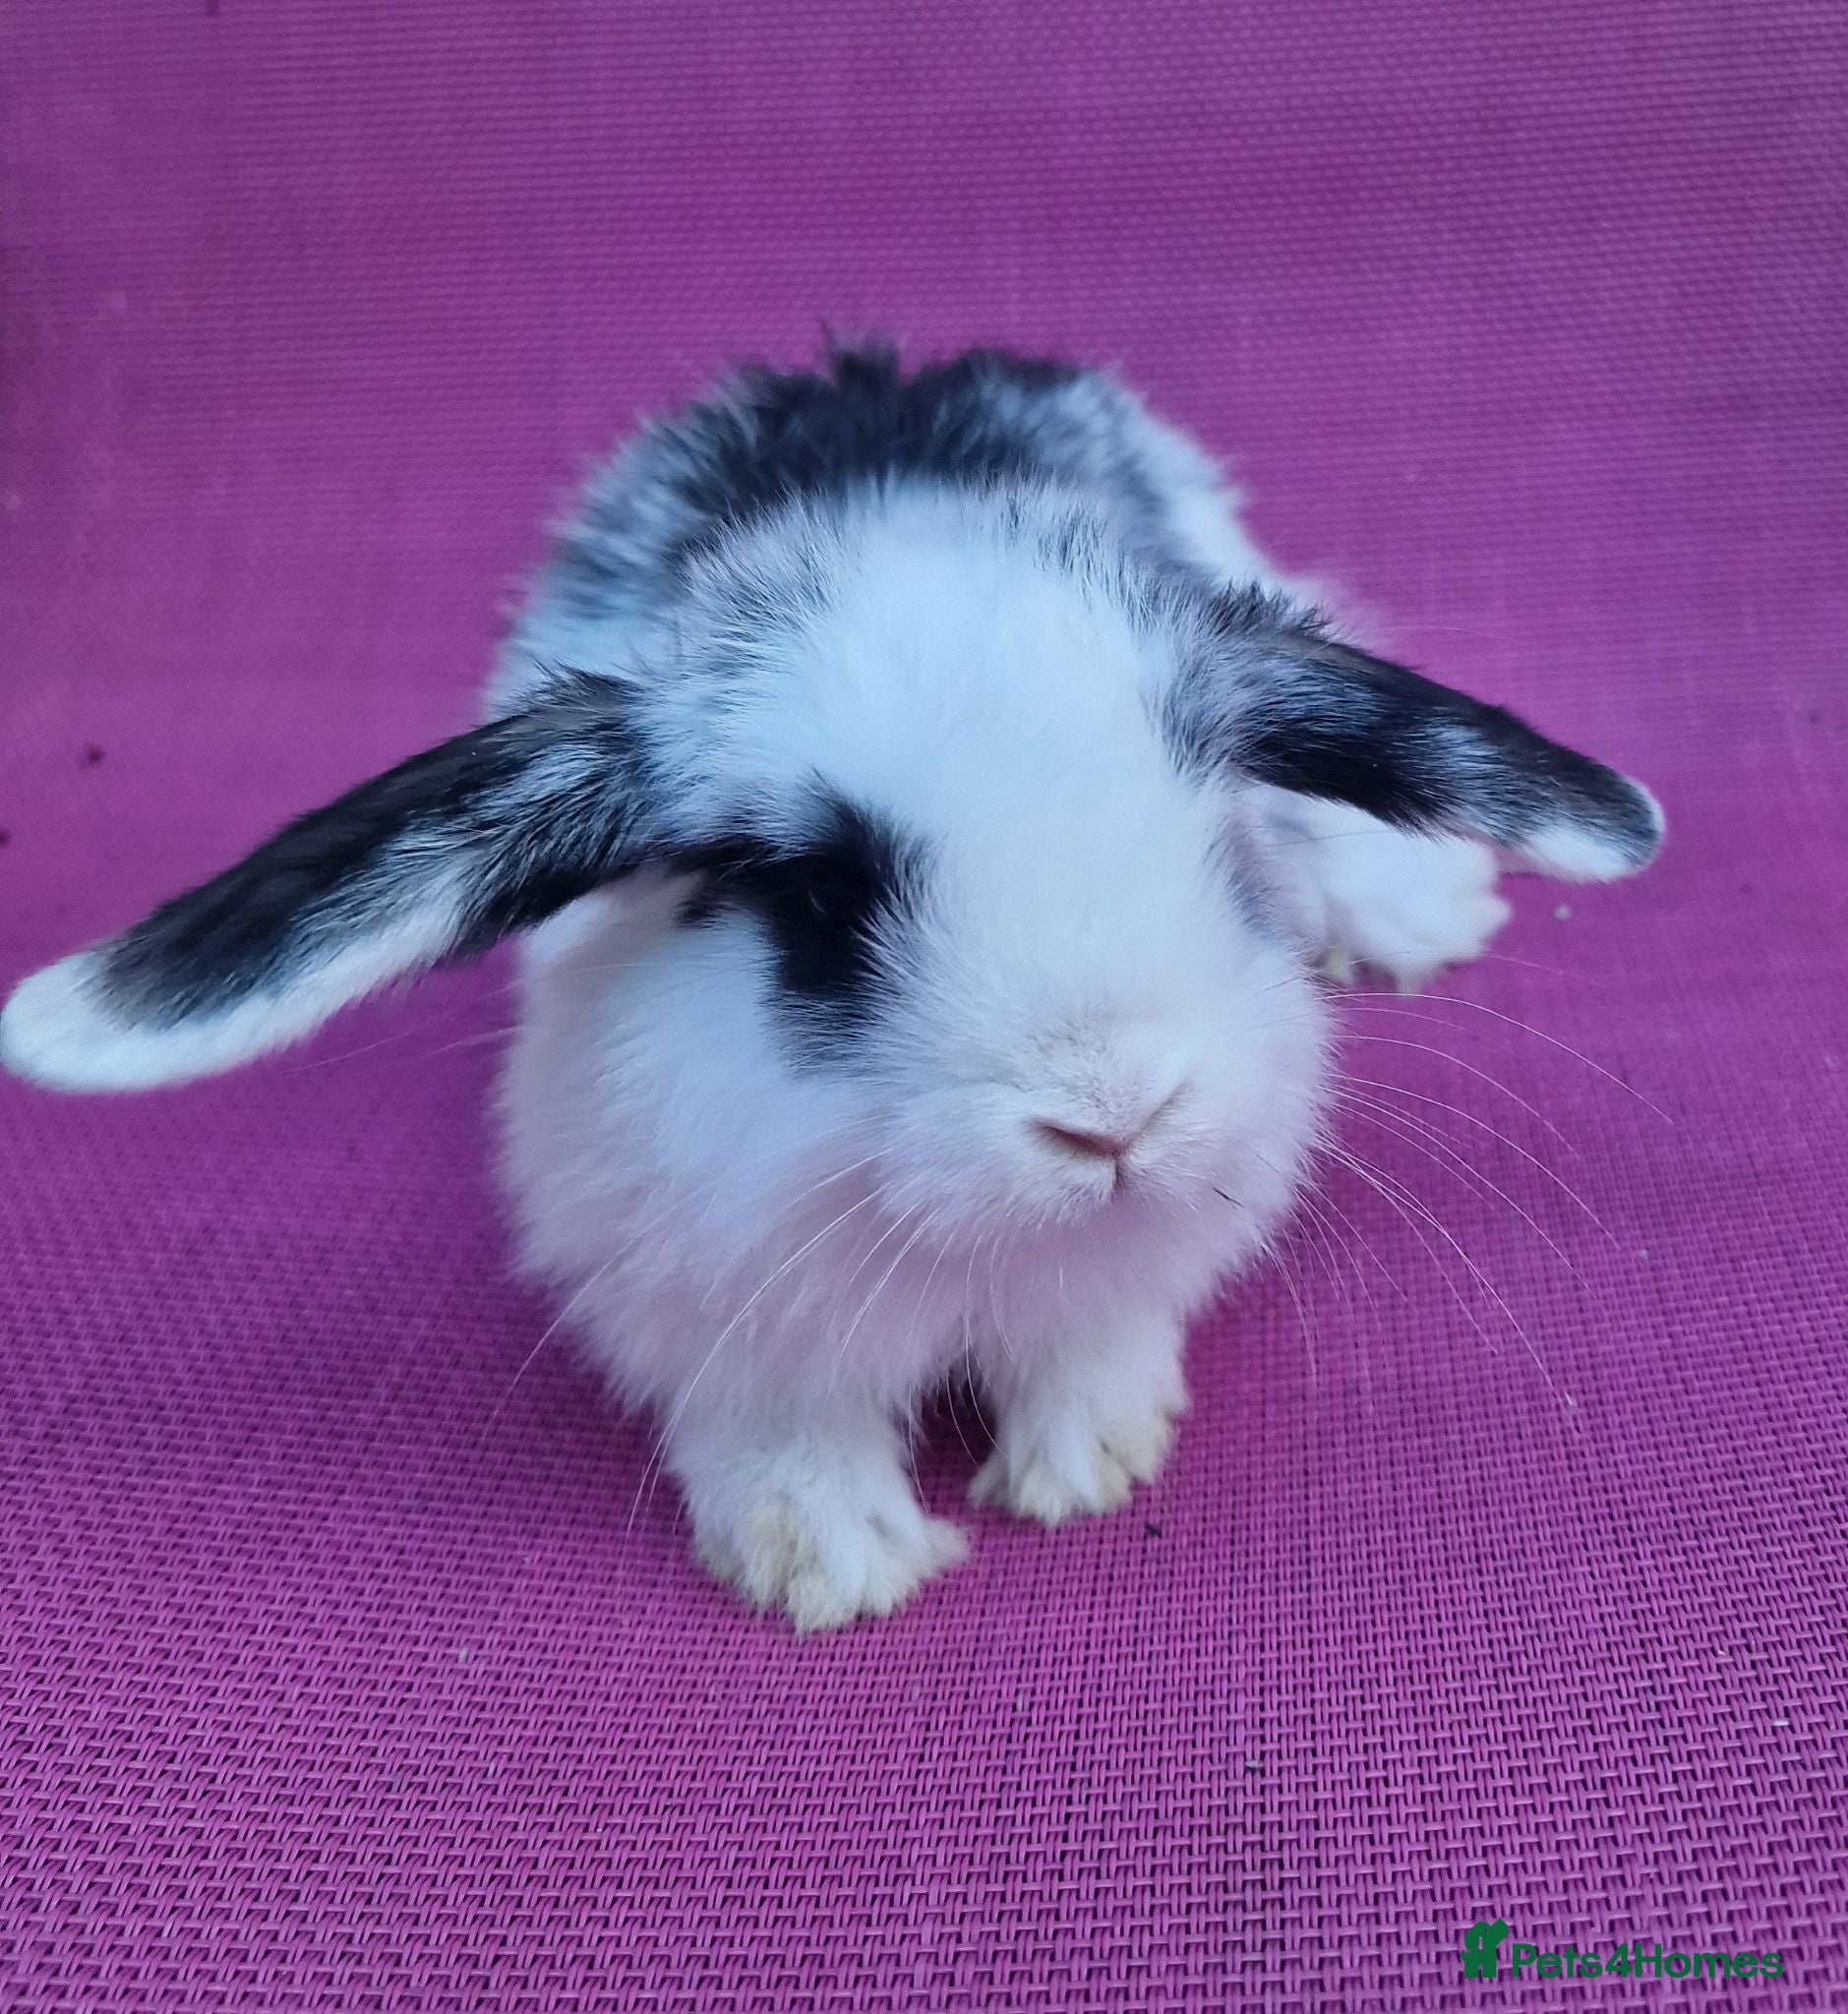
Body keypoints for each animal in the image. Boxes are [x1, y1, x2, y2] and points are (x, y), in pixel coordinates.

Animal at [0, 344, 1663, 1630]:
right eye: (812, 902)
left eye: (1214, 833)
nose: (1113, 1116)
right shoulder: (695, 1275)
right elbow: (779, 1424)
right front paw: (833, 1564)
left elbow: (1101, 1336)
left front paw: (1085, 1465)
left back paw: (1413, 910)